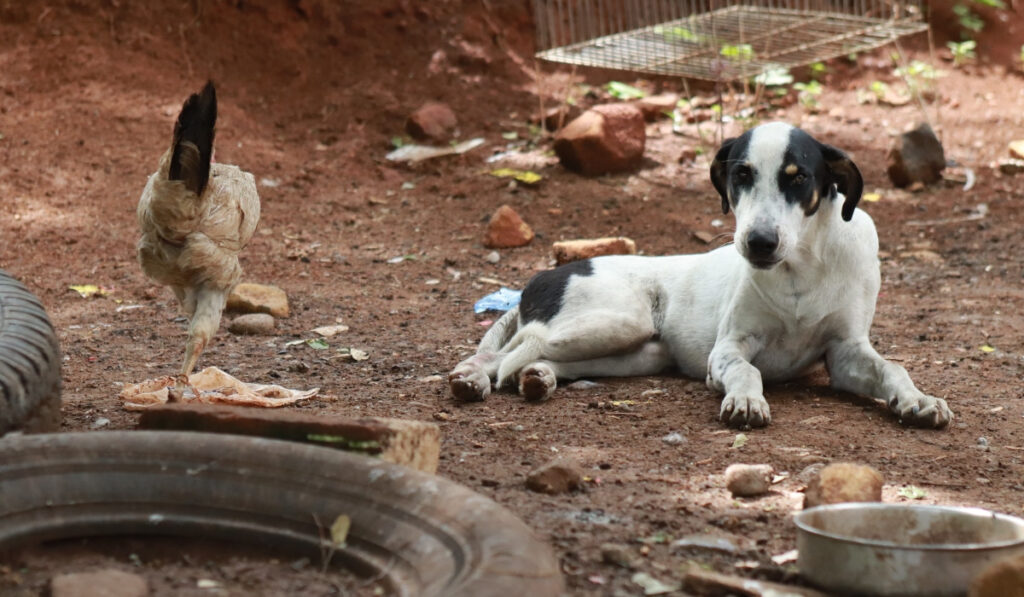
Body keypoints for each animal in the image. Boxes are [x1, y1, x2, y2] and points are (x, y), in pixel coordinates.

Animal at [448, 121, 950, 430]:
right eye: (741, 174)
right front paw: (746, 400)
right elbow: (747, 370)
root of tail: (539, 279)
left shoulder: (846, 353)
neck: (800, 271)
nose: (759, 242)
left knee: (531, 361)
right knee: (502, 355)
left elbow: (894, 368)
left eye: (798, 177)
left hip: (636, 352)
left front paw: (918, 400)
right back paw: (473, 380)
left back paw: (538, 378)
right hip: (614, 321)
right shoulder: (727, 349)